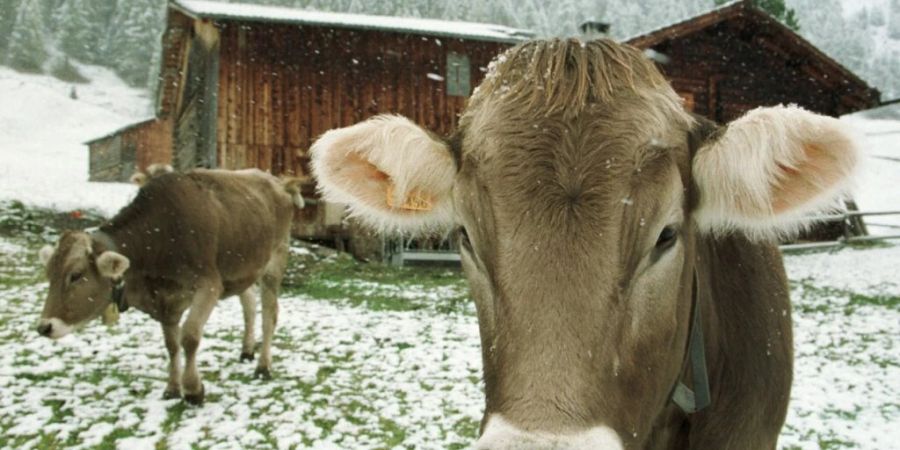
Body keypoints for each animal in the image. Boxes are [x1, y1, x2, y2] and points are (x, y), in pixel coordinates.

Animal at [36, 168, 302, 404]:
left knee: (269, 315)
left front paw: (193, 390)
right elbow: (172, 345)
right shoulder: (166, 300)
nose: (44, 327)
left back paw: (263, 366)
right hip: (240, 268)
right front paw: (173, 389)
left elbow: (190, 337)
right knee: (248, 302)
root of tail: (277, 181)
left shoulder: (209, 285)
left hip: (274, 261)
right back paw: (247, 350)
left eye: (76, 275)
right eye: (49, 274)